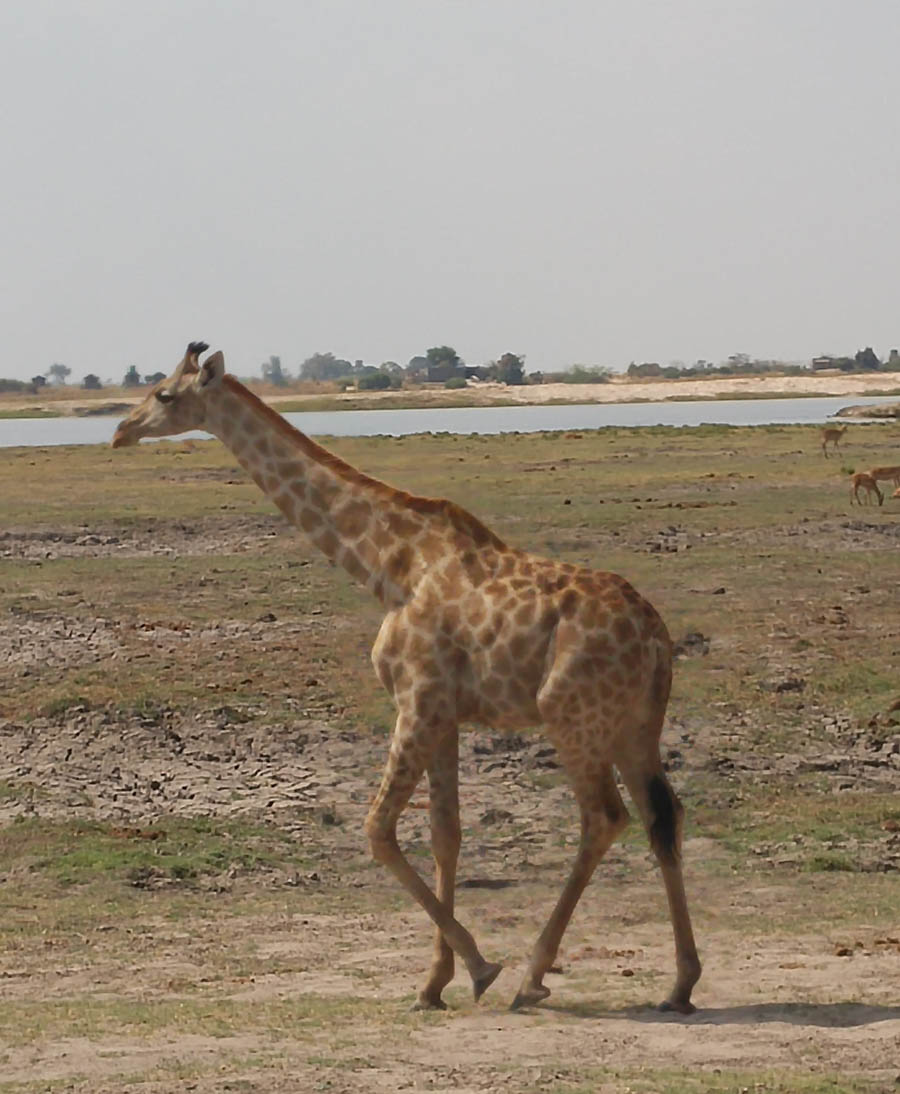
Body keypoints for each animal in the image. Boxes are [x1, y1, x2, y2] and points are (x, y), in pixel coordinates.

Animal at [114, 343, 704, 1015]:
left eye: (164, 394)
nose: (120, 431)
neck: (386, 566)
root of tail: (656, 637)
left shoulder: (416, 702)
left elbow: (377, 829)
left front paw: (479, 967)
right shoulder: (445, 713)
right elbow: (446, 833)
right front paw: (434, 981)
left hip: (572, 717)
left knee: (603, 818)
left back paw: (533, 976)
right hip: (636, 725)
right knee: (662, 817)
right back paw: (679, 984)